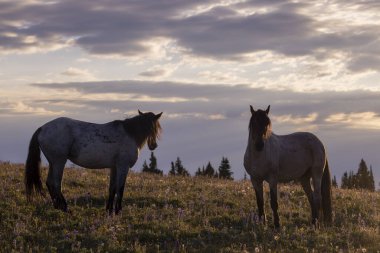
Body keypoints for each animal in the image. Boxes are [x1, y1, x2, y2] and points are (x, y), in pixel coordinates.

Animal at [24, 109, 162, 214]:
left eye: (155, 127)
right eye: (149, 127)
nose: (153, 145)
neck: (130, 134)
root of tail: (42, 128)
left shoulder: (114, 167)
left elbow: (112, 188)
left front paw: (109, 211)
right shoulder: (123, 166)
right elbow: (120, 188)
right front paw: (118, 211)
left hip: (53, 162)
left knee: (49, 182)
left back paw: (58, 206)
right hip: (59, 162)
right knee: (56, 183)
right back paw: (65, 208)